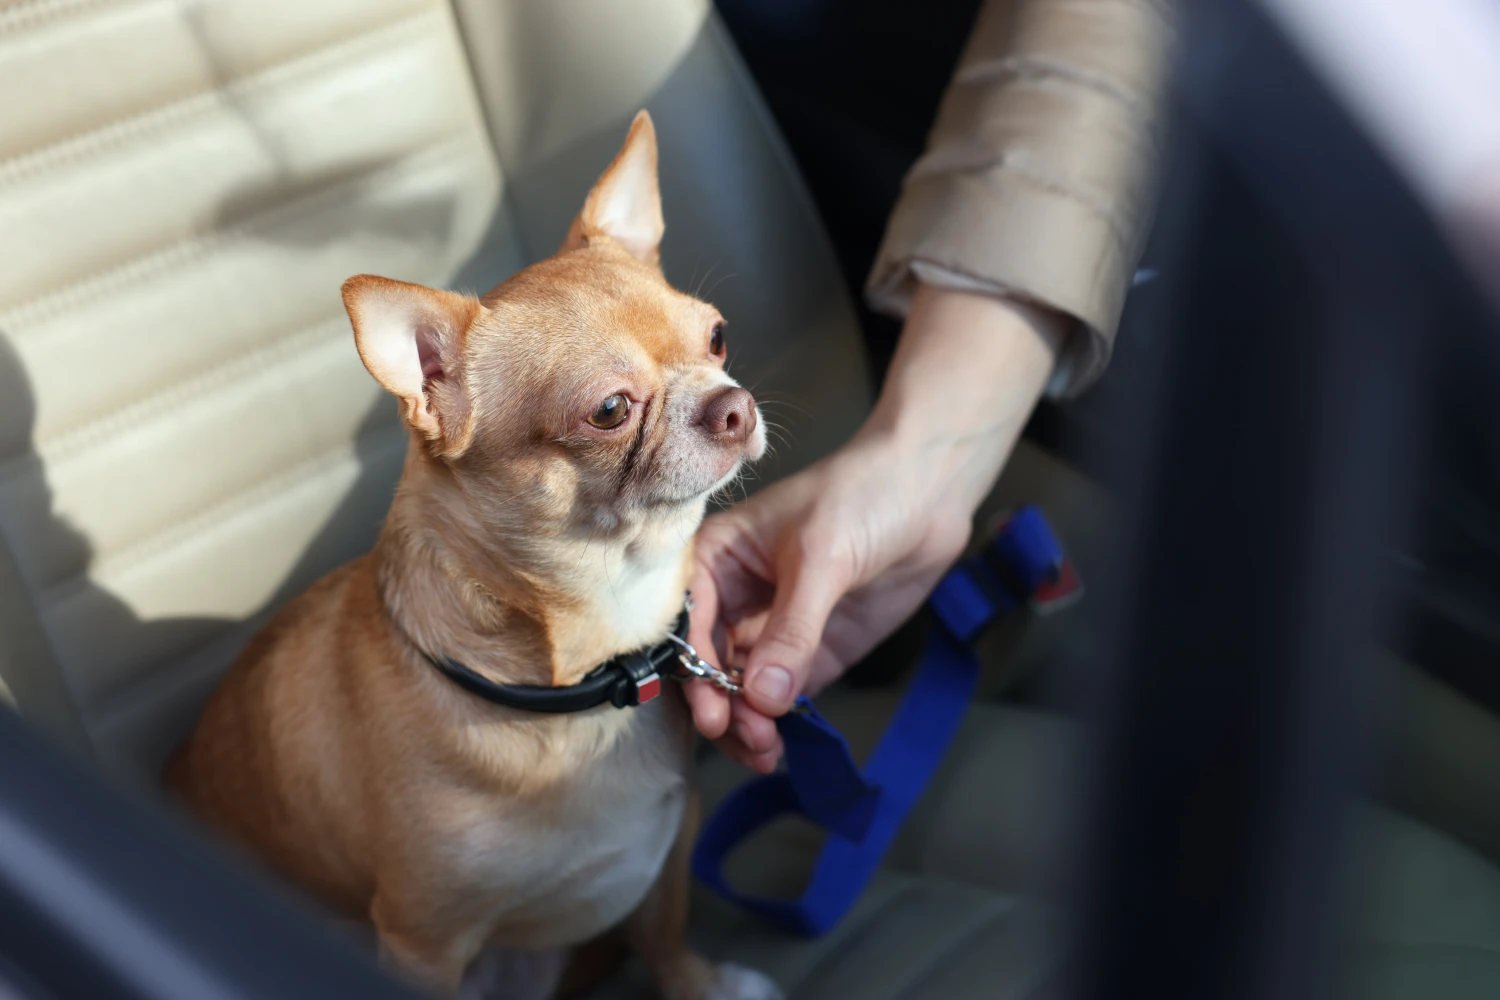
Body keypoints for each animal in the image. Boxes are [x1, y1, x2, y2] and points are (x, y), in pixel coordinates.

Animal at [167, 111, 774, 1000]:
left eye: (719, 336)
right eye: (609, 410)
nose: (733, 406)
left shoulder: (673, 836)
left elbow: (666, 935)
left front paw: (702, 985)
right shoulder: (422, 940)